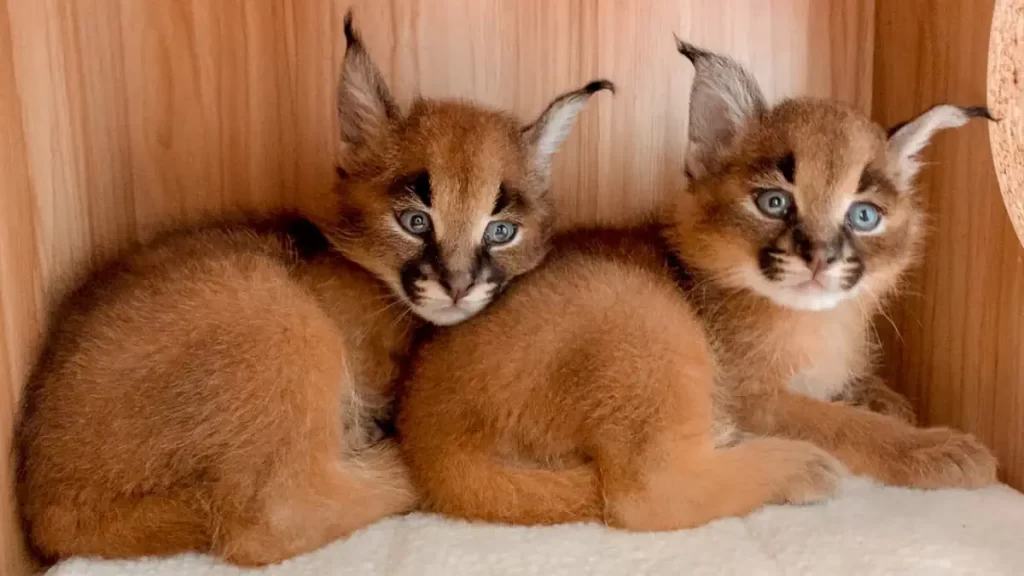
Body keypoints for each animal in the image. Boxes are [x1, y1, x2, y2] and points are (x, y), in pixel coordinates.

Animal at [399, 39, 999, 524]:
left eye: (865, 216)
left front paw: (885, 398)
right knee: (646, 494)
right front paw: (936, 449)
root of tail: (423, 431)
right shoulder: (752, 396)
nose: (820, 258)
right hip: (641, 313)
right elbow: (834, 419)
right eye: (774, 202)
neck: (810, 321)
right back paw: (793, 468)